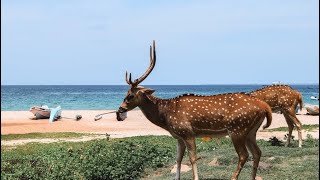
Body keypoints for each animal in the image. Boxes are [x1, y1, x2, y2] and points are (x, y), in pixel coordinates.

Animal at [117, 40, 272, 180]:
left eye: (130, 95)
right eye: (125, 93)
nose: (120, 110)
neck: (165, 115)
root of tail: (265, 106)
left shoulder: (188, 132)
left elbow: (192, 158)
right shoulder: (178, 137)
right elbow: (178, 159)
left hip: (238, 129)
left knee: (244, 155)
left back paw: (234, 177)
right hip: (251, 131)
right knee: (257, 152)